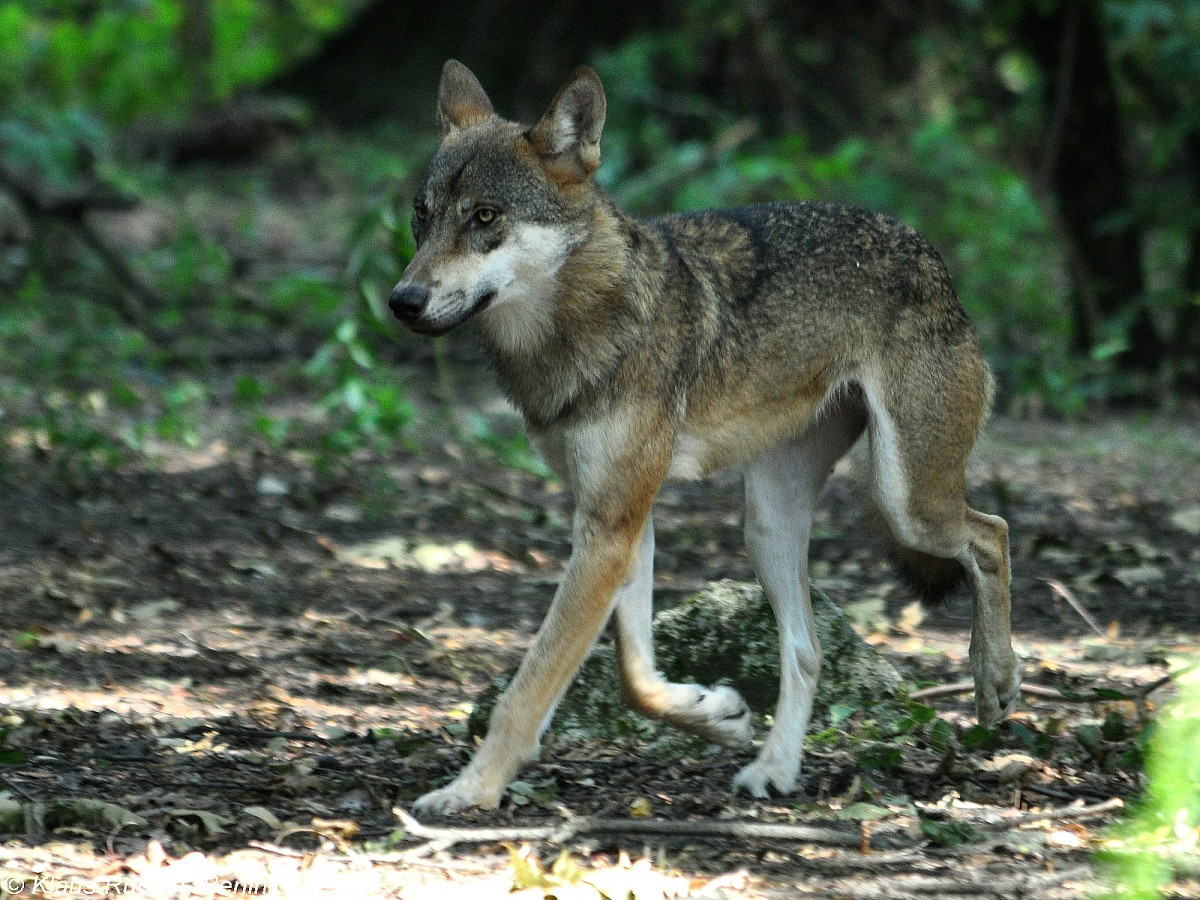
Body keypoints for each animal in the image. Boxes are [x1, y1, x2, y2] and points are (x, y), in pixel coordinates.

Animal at [393, 60, 1022, 816]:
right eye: (422, 215)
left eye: (484, 217)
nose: (402, 301)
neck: (576, 324)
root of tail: (931, 254)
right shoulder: (620, 521)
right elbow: (635, 679)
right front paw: (714, 713)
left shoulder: (609, 527)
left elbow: (530, 688)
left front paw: (470, 791)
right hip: (769, 525)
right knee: (807, 650)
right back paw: (774, 770)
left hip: (907, 503)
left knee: (992, 534)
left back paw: (994, 680)